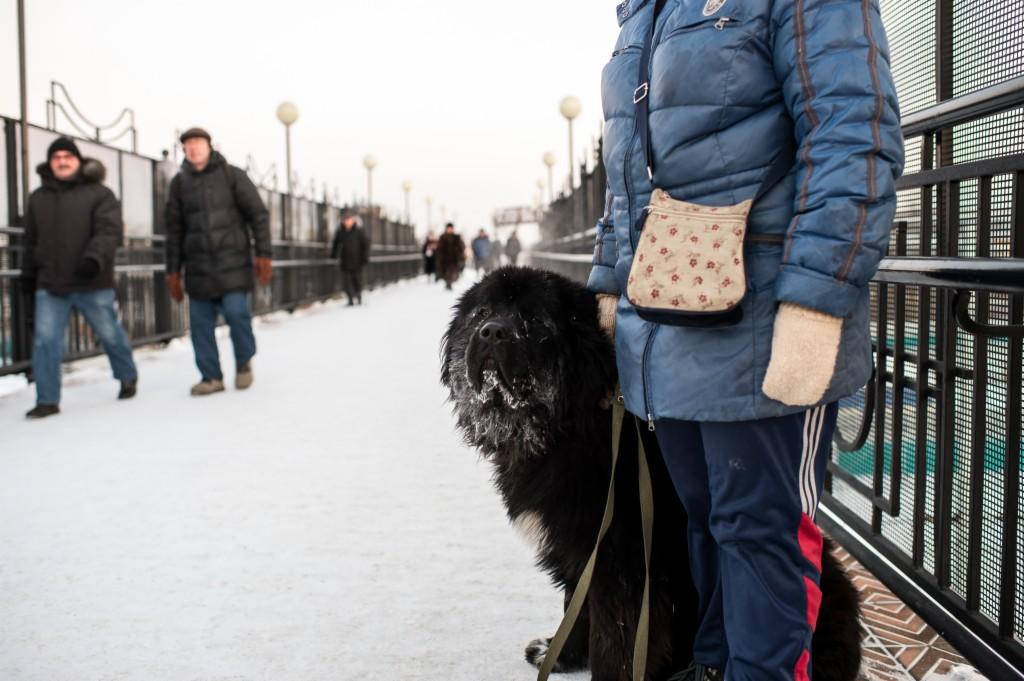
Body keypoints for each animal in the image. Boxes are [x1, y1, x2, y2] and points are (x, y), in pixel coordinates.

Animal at [442, 266, 864, 679]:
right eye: (481, 314)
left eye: (534, 320)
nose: (492, 331)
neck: (571, 423)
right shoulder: (577, 550)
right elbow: (574, 606)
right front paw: (560, 654)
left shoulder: (621, 559)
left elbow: (616, 641)